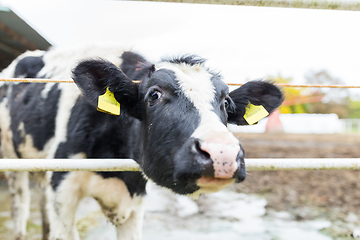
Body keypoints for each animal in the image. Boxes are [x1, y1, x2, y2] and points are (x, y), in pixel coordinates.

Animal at [0, 45, 282, 240]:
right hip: (13, 162)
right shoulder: (62, 188)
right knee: (20, 208)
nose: (221, 153)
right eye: (154, 95)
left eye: (225, 102)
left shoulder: (135, 200)